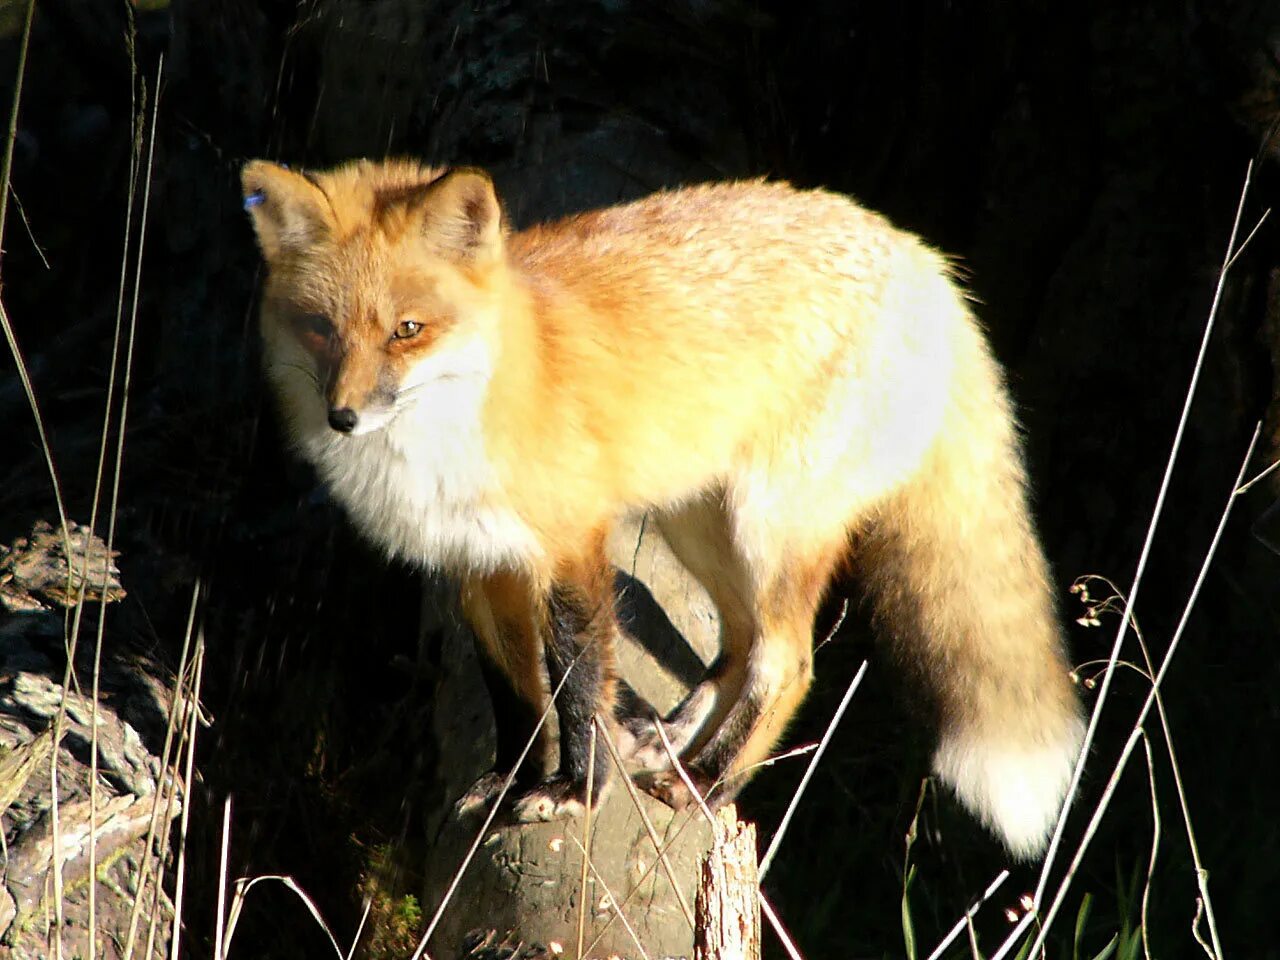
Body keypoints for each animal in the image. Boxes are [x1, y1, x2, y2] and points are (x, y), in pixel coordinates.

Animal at [241, 158, 1090, 865]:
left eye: (407, 331)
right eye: (320, 329)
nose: (344, 417)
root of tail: (924, 259)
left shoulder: (570, 545)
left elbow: (578, 681)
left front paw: (572, 791)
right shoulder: (477, 565)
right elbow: (514, 692)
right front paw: (511, 780)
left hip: (769, 524)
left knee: (789, 661)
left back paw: (709, 782)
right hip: (699, 525)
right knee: (741, 642)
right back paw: (674, 738)